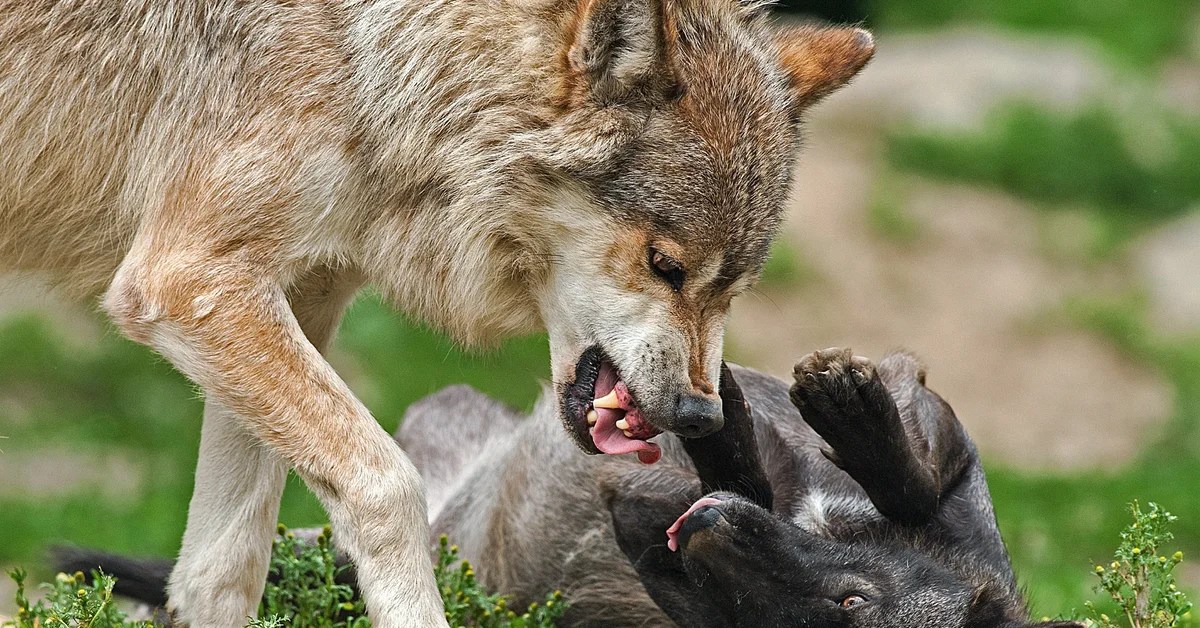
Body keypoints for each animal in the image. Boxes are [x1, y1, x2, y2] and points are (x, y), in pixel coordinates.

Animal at [2, 0, 873, 624]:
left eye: (735, 289)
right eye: (666, 266)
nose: (699, 415)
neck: (374, 65)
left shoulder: (293, 296)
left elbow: (223, 569)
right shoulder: (190, 280)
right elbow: (389, 488)